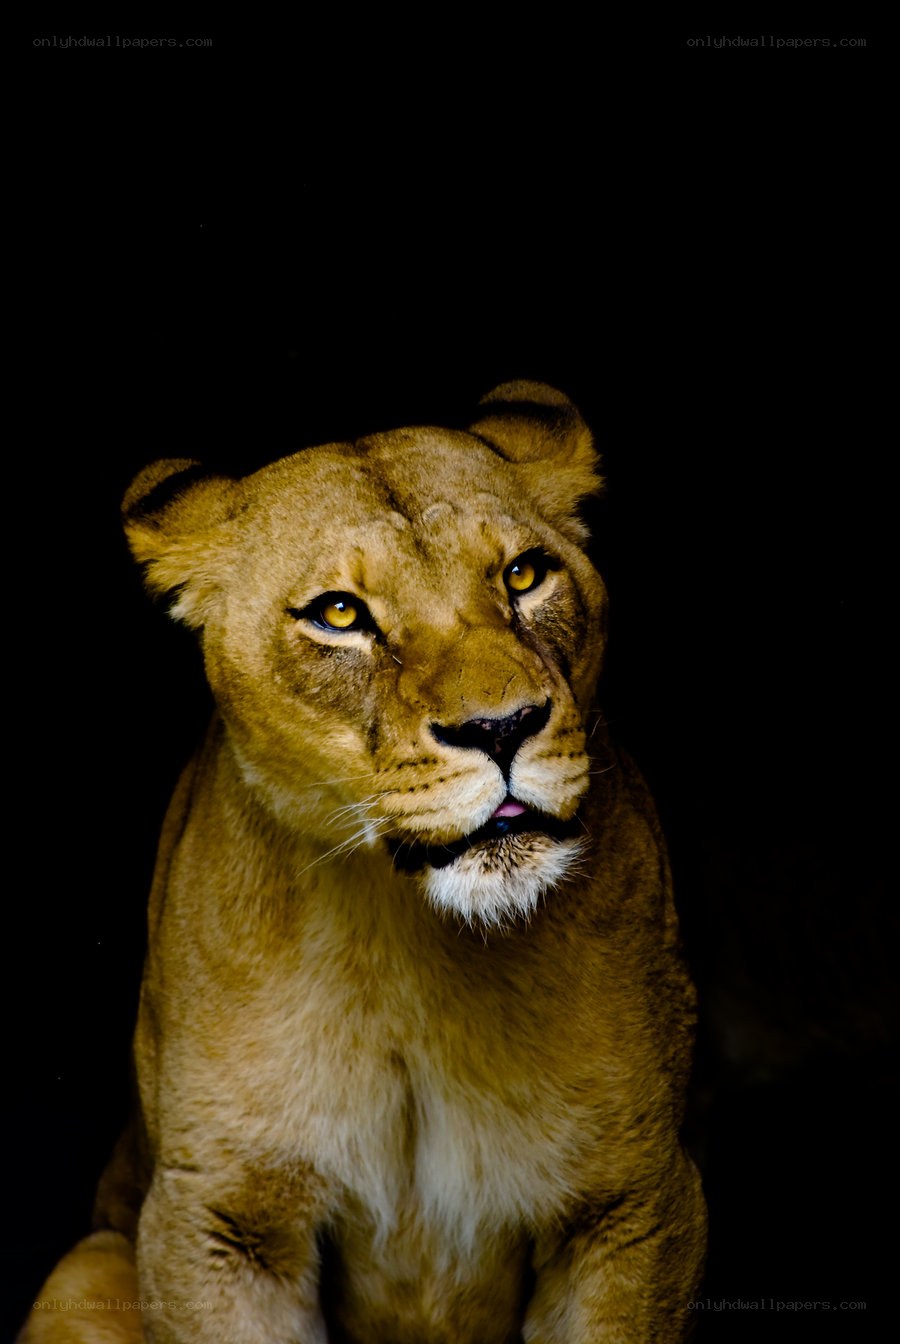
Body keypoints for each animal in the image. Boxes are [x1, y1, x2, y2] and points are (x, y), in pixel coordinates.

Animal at [21, 383, 706, 1343]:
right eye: (340, 614)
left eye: (524, 575)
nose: (501, 727)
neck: (412, 942)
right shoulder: (217, 1219)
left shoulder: (633, 1200)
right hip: (84, 1268)